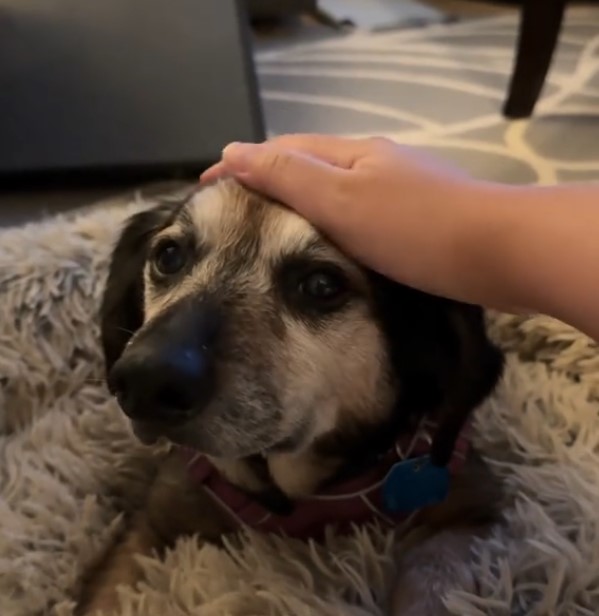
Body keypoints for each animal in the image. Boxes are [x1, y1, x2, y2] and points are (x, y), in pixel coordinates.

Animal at [82, 179, 506, 616]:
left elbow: (434, 573)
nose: (144, 381)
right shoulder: (151, 524)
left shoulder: (476, 509)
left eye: (321, 284)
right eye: (169, 256)